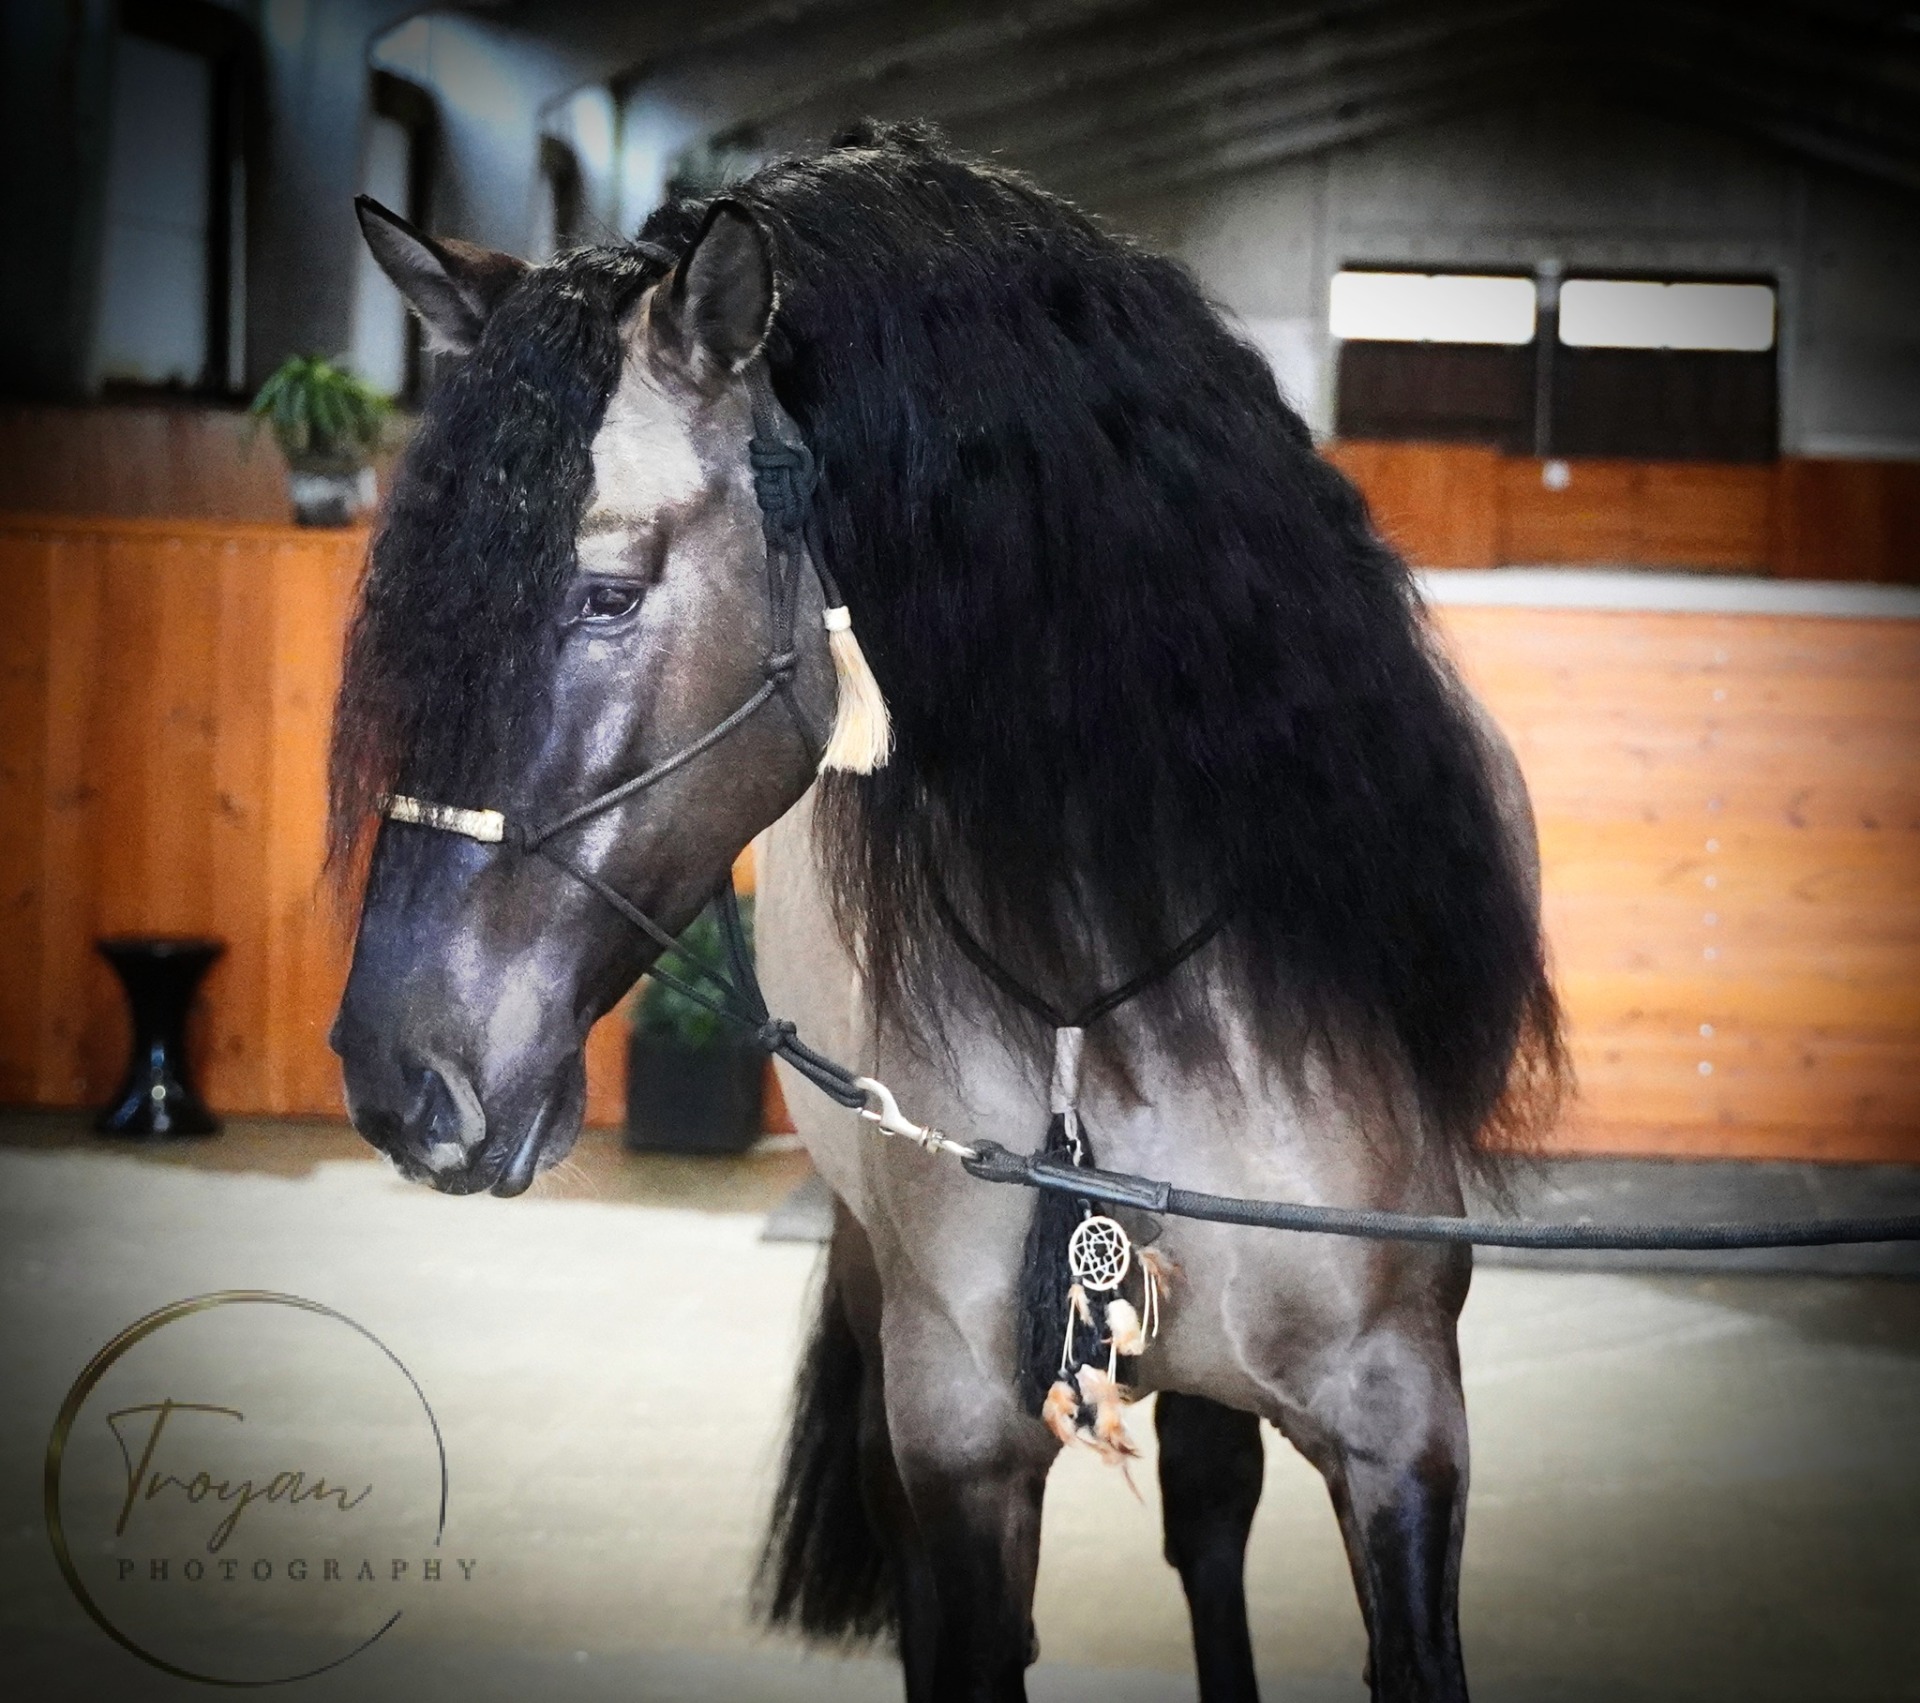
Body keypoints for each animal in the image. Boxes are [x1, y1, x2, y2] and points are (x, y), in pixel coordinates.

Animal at [328, 123, 1564, 1703]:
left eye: (605, 593)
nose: (396, 1075)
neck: (1107, 1011)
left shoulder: (1402, 1431)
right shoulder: (967, 1446)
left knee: (1209, 1509)